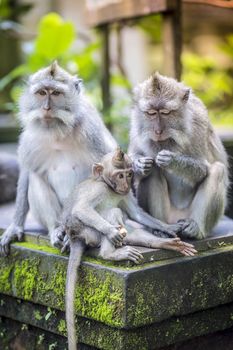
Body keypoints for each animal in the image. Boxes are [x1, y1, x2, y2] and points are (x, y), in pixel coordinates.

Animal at [62, 148, 196, 350]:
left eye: (129, 174)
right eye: (119, 175)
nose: (125, 184)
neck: (108, 186)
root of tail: (73, 236)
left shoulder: (123, 194)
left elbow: (136, 214)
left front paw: (167, 228)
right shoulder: (99, 190)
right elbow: (81, 209)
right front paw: (111, 231)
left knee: (129, 227)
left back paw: (163, 243)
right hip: (88, 232)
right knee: (112, 213)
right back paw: (111, 253)